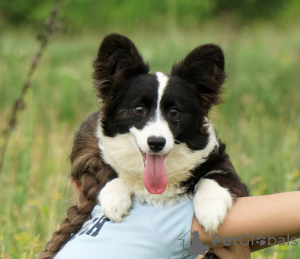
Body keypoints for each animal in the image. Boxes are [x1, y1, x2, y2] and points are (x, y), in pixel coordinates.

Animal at [92, 34, 248, 240]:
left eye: (174, 112)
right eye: (138, 109)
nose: (156, 143)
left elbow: (215, 176)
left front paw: (210, 210)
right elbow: (114, 175)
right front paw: (114, 200)